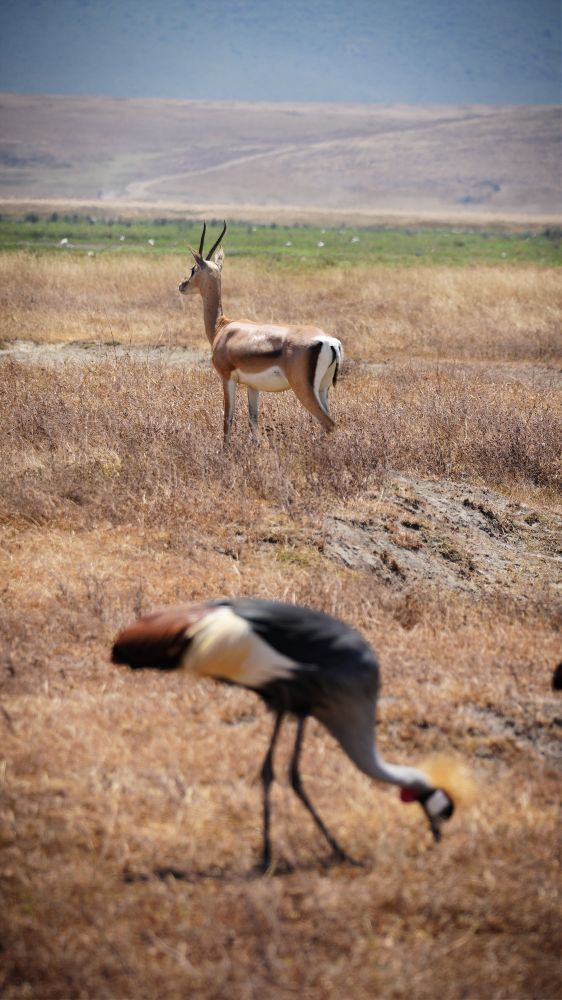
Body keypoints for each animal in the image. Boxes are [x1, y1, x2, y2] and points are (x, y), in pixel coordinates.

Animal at [179, 222, 343, 442]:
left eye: (193, 269)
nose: (182, 285)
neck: (223, 327)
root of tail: (329, 341)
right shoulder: (252, 385)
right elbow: (252, 420)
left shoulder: (227, 378)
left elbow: (227, 419)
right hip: (324, 389)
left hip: (304, 389)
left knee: (328, 423)